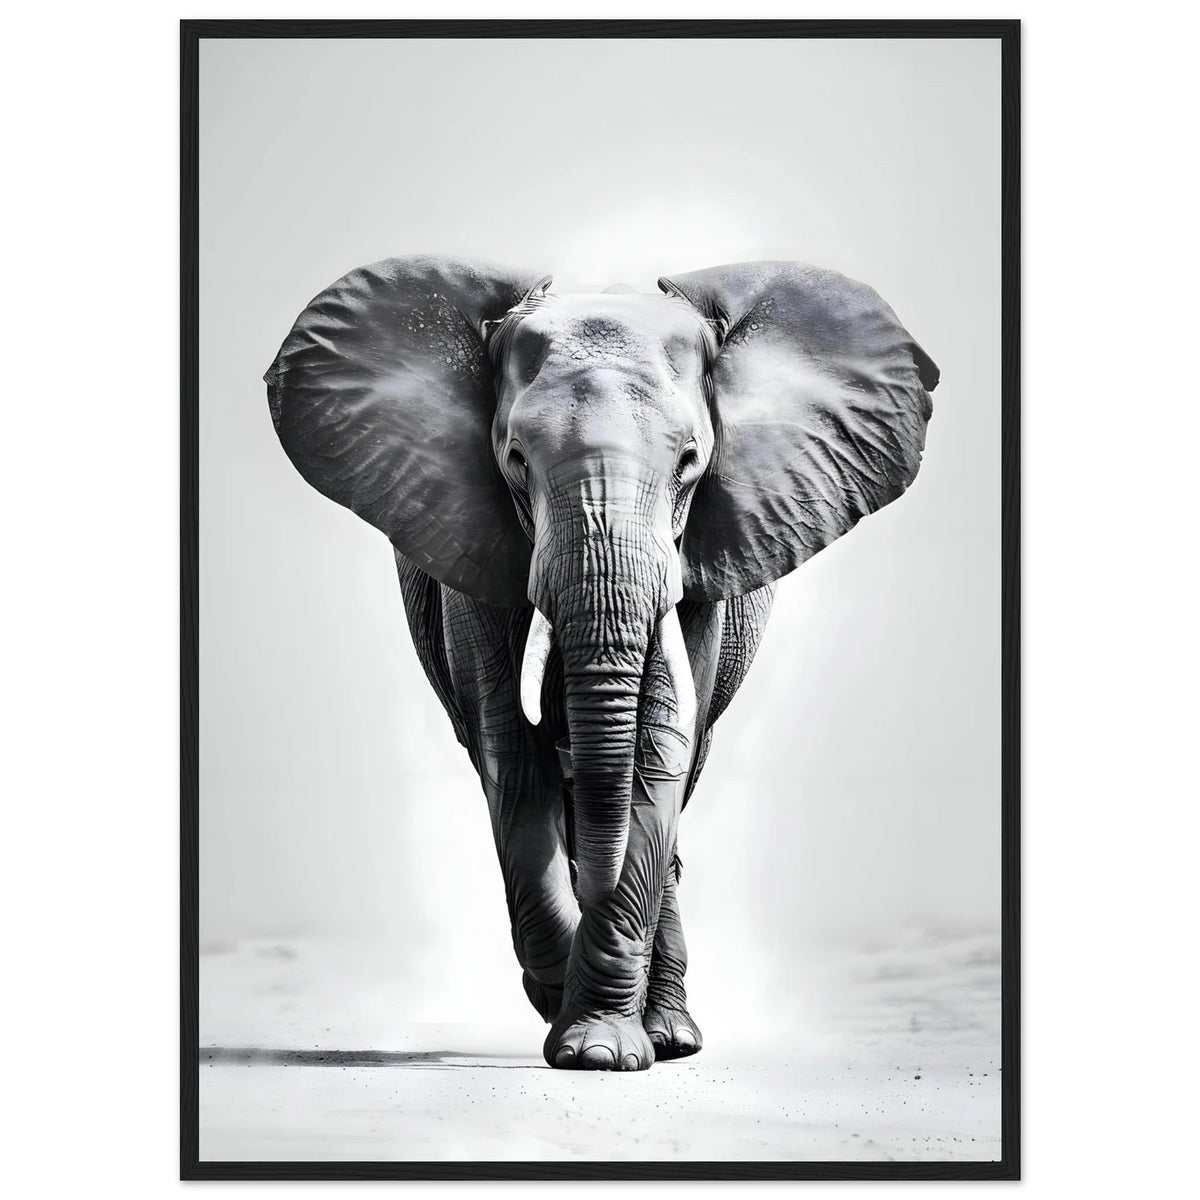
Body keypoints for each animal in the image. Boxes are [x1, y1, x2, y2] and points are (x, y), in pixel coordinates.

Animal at [265, 255, 938, 1072]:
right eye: (516, 460)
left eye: (690, 462)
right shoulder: (473, 546)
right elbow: (513, 754)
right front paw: (570, 1018)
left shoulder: (701, 558)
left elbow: (658, 751)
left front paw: (600, 1048)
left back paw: (670, 1033)